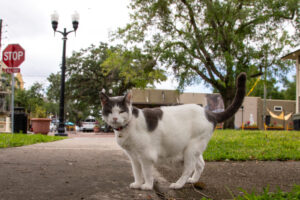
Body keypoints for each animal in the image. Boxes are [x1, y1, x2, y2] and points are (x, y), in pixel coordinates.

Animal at [99, 72, 245, 191]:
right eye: (110, 111)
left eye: (121, 111)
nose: (115, 118)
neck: (127, 126)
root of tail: (208, 112)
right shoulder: (133, 157)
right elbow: (137, 172)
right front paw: (138, 183)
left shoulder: (146, 156)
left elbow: (146, 173)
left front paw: (147, 186)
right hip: (193, 150)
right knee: (200, 164)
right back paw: (193, 180)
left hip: (191, 150)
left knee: (189, 168)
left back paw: (178, 184)